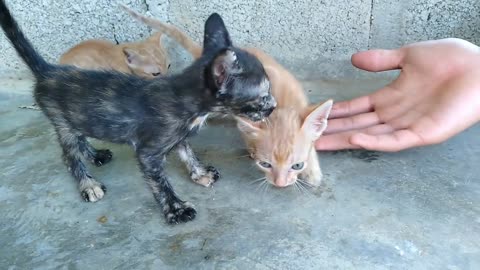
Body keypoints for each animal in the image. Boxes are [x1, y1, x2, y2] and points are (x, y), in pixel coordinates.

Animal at [0, 0, 276, 224]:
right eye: (263, 95)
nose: (273, 106)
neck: (186, 100)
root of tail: (49, 71)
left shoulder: (177, 136)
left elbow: (187, 152)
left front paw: (200, 173)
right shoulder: (148, 151)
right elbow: (160, 182)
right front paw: (176, 209)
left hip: (76, 120)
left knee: (81, 140)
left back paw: (96, 154)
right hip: (62, 122)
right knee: (69, 156)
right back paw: (88, 184)